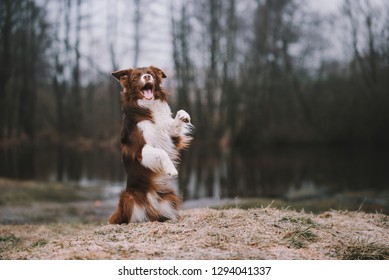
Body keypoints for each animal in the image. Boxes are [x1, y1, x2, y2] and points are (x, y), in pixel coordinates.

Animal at [107, 65, 192, 223]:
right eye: (135, 77)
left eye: (151, 73)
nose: (147, 77)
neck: (148, 107)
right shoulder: (139, 151)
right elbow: (161, 152)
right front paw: (171, 169)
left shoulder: (171, 137)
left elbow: (176, 123)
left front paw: (183, 116)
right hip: (128, 198)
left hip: (169, 199)